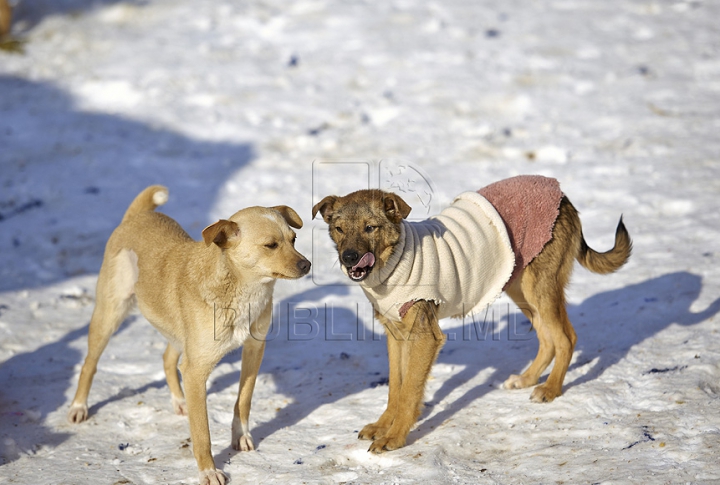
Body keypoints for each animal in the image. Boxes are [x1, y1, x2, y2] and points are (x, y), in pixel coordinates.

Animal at [68, 183, 312, 482]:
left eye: (294, 239)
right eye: (271, 245)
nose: (307, 265)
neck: (240, 290)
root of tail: (138, 216)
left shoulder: (254, 351)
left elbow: (243, 401)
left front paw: (241, 437)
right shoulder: (197, 371)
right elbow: (202, 432)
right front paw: (209, 471)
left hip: (178, 334)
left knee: (167, 359)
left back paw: (180, 401)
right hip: (109, 315)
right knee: (89, 364)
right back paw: (79, 407)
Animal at [312, 175, 632, 454]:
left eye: (370, 228)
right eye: (340, 229)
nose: (349, 258)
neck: (394, 264)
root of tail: (562, 195)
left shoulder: (425, 337)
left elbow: (410, 391)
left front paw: (396, 437)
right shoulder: (397, 336)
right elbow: (396, 388)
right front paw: (383, 426)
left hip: (539, 288)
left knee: (566, 338)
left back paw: (550, 389)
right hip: (520, 288)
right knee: (547, 339)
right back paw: (527, 379)